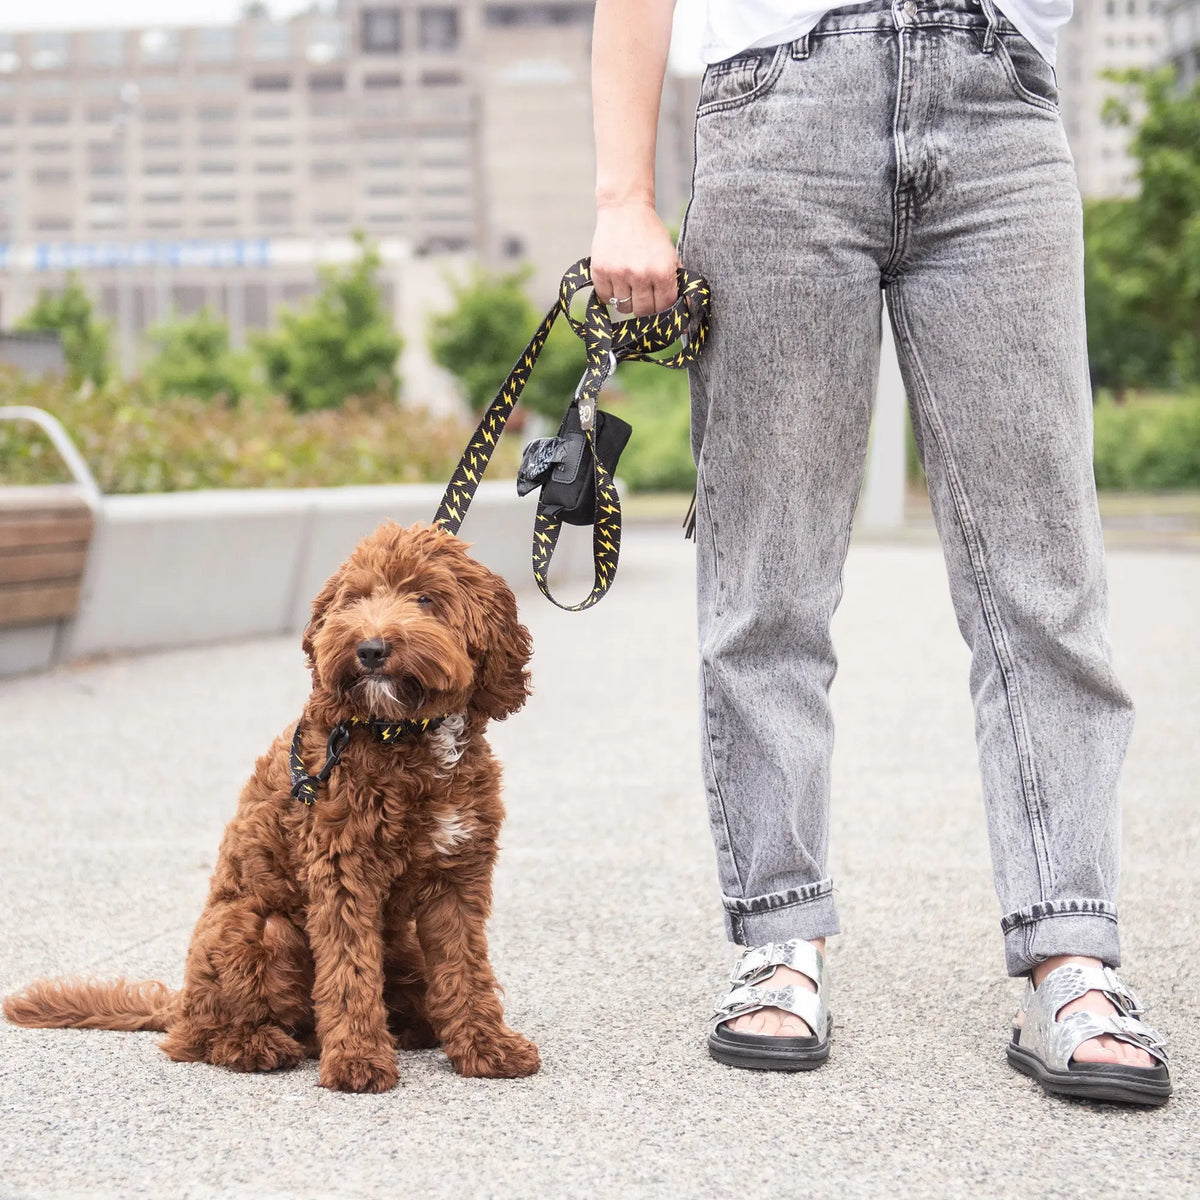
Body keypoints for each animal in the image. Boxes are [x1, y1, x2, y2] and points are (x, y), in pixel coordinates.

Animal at [4, 520, 540, 1094]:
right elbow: (349, 972)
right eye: (356, 599)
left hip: (401, 945)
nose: (370, 649)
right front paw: (357, 1060)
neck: (404, 733)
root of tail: (181, 1004)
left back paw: (412, 1027)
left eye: (425, 598)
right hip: (256, 929)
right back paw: (259, 1044)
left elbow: (466, 969)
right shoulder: (342, 872)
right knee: (201, 1039)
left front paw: (486, 1046)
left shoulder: (458, 873)